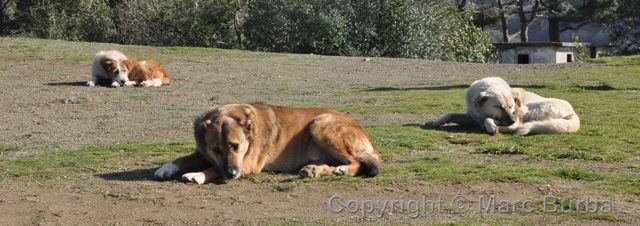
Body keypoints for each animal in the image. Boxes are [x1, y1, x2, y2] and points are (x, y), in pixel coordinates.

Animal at [154, 102, 380, 184]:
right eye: (216, 149)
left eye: (235, 146)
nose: (231, 174)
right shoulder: (203, 152)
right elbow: (182, 158)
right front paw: (166, 168)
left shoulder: (246, 164)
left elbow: (214, 169)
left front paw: (198, 175)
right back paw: (314, 170)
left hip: (320, 124)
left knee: (357, 162)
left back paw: (343, 169)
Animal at [430, 77, 580, 135]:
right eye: (498, 107)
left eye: (511, 106)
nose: (511, 119)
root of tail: (574, 114)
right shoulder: (472, 117)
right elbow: (450, 114)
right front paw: (435, 122)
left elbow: (490, 120)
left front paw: (490, 125)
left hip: (527, 109)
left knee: (516, 127)